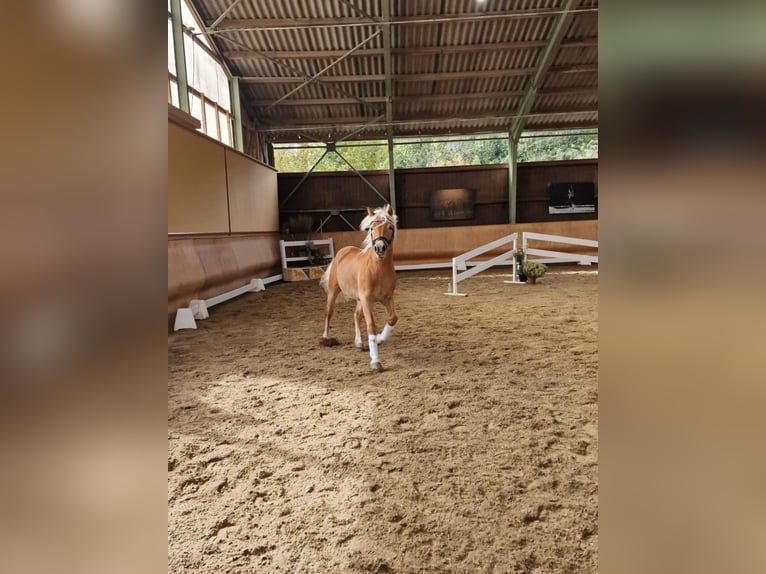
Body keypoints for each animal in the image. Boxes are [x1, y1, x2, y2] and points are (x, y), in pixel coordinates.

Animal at [320, 206, 400, 374]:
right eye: (371, 228)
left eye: (390, 227)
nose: (380, 248)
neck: (378, 269)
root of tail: (343, 251)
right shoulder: (367, 299)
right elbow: (371, 325)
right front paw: (375, 361)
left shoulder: (387, 298)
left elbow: (392, 318)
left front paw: (379, 338)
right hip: (334, 291)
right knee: (329, 311)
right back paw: (325, 338)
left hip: (358, 299)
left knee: (356, 315)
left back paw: (358, 343)